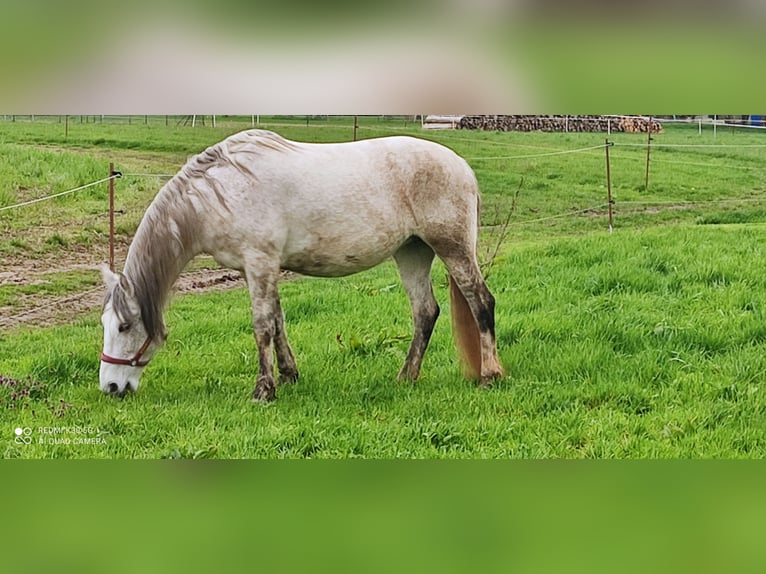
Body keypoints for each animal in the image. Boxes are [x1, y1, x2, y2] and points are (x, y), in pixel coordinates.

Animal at [100, 129, 504, 400]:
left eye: (124, 326)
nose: (111, 386)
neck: (222, 191)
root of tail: (461, 166)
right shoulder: (261, 268)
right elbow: (278, 322)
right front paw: (289, 376)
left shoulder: (260, 263)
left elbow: (262, 326)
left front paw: (264, 390)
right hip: (412, 252)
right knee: (425, 312)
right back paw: (406, 378)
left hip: (452, 248)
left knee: (481, 302)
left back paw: (490, 376)